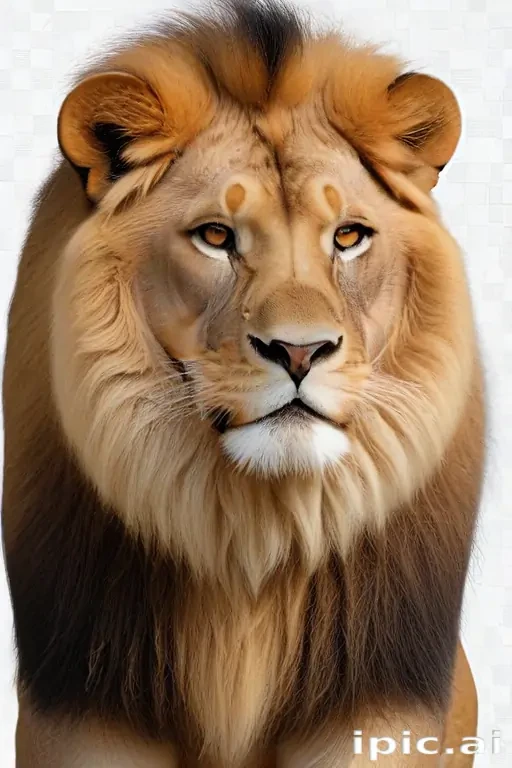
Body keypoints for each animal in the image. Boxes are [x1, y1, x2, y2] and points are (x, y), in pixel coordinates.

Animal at [2, 1, 485, 766]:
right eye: (216, 236)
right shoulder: (85, 708)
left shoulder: (375, 711)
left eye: (348, 237)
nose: (300, 350)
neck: (255, 542)